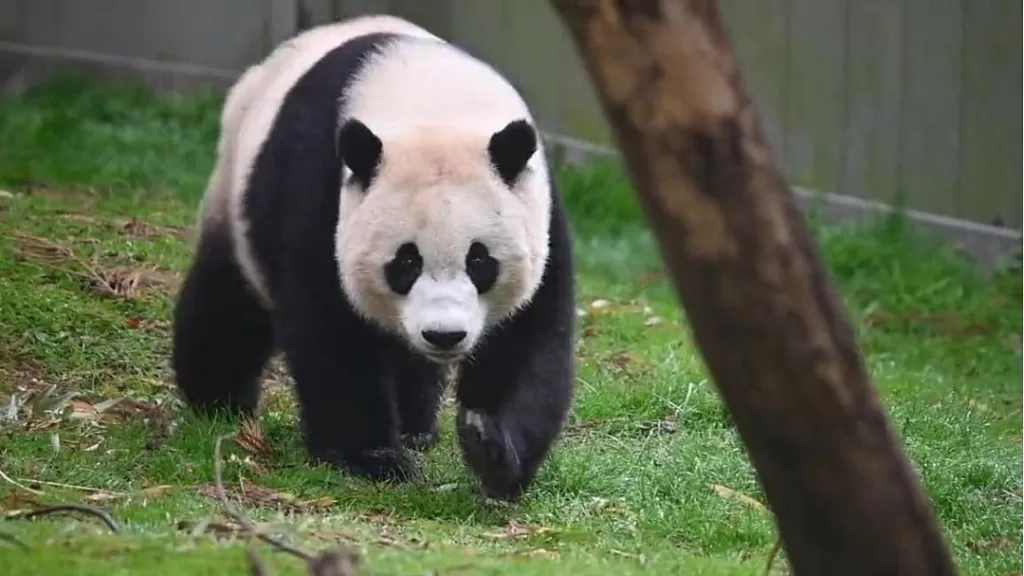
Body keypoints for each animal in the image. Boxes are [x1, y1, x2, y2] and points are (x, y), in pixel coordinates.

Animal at [171, 14, 577, 501]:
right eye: (406, 262)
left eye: (480, 261)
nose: (444, 335)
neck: (433, 103)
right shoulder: (320, 185)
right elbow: (331, 324)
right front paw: (371, 458)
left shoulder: (540, 210)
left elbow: (527, 338)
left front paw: (493, 448)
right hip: (234, 189)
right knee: (228, 305)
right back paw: (218, 401)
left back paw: (417, 428)